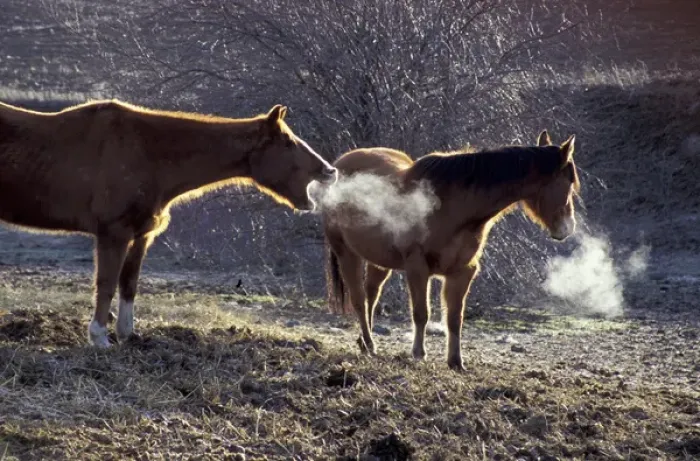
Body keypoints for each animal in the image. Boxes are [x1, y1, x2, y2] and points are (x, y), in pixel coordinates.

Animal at [0, 98, 337, 347]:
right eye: (288, 142)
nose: (330, 170)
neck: (148, 152)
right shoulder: (114, 233)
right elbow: (106, 284)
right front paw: (99, 338)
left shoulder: (140, 235)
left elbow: (129, 284)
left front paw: (127, 335)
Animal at [319, 130, 579, 371]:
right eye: (568, 183)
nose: (567, 228)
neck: (452, 205)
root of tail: (340, 163)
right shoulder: (417, 267)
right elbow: (421, 313)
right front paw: (419, 354)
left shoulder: (462, 271)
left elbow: (455, 318)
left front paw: (456, 362)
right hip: (346, 253)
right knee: (359, 299)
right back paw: (369, 343)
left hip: (379, 259)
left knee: (371, 296)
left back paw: (366, 343)